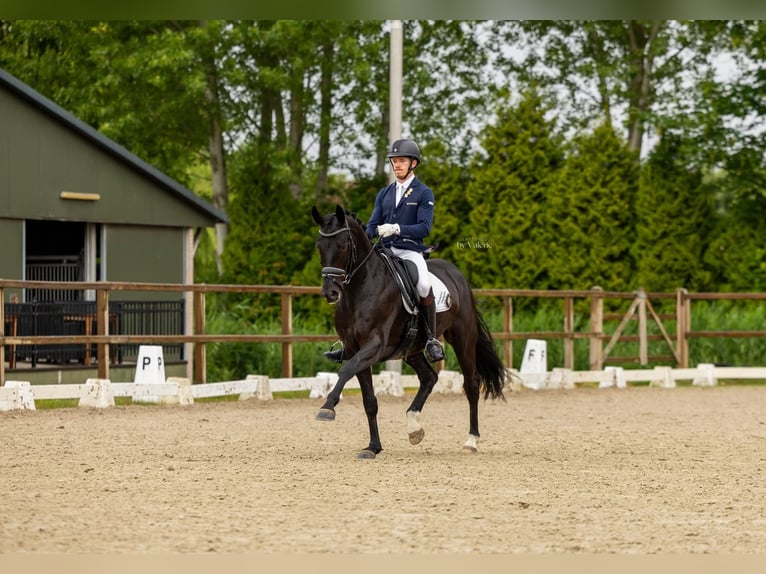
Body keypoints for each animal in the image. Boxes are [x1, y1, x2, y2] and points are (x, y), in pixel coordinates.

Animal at [311, 204, 507, 459]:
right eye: (319, 246)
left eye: (343, 245)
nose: (330, 293)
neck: (360, 288)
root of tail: (455, 273)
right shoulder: (355, 348)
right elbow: (369, 400)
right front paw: (373, 447)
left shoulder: (374, 345)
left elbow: (345, 370)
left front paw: (327, 407)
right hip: (411, 348)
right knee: (429, 378)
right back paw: (414, 428)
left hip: (463, 339)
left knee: (471, 385)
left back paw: (471, 440)